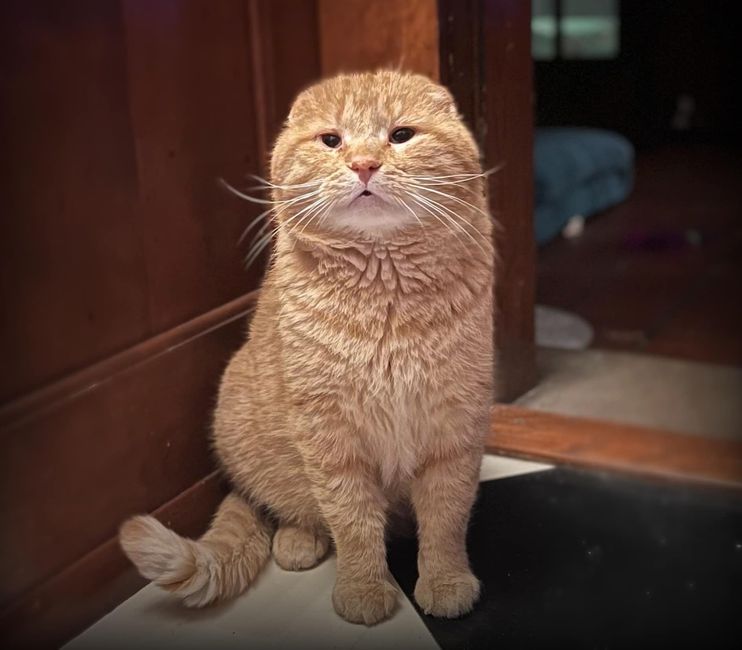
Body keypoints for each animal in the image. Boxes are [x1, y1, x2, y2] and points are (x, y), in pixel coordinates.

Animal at [120, 69, 494, 624]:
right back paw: (298, 542)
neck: (385, 304)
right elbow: (353, 523)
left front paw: (445, 582)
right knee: (291, 510)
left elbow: (445, 520)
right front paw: (363, 590)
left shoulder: (455, 428)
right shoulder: (329, 435)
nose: (364, 164)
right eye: (331, 140)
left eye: (401, 135)